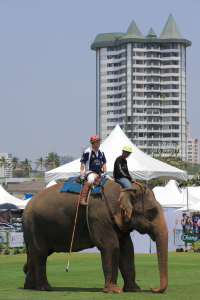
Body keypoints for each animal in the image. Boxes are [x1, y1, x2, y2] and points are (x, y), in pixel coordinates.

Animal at [21, 179, 168, 294]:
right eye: (152, 212)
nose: (153, 287)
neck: (124, 188)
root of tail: (25, 207)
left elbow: (128, 250)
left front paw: (134, 290)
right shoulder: (100, 216)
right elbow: (111, 246)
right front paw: (114, 291)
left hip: (32, 227)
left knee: (34, 254)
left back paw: (29, 287)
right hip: (35, 226)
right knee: (41, 254)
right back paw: (45, 288)